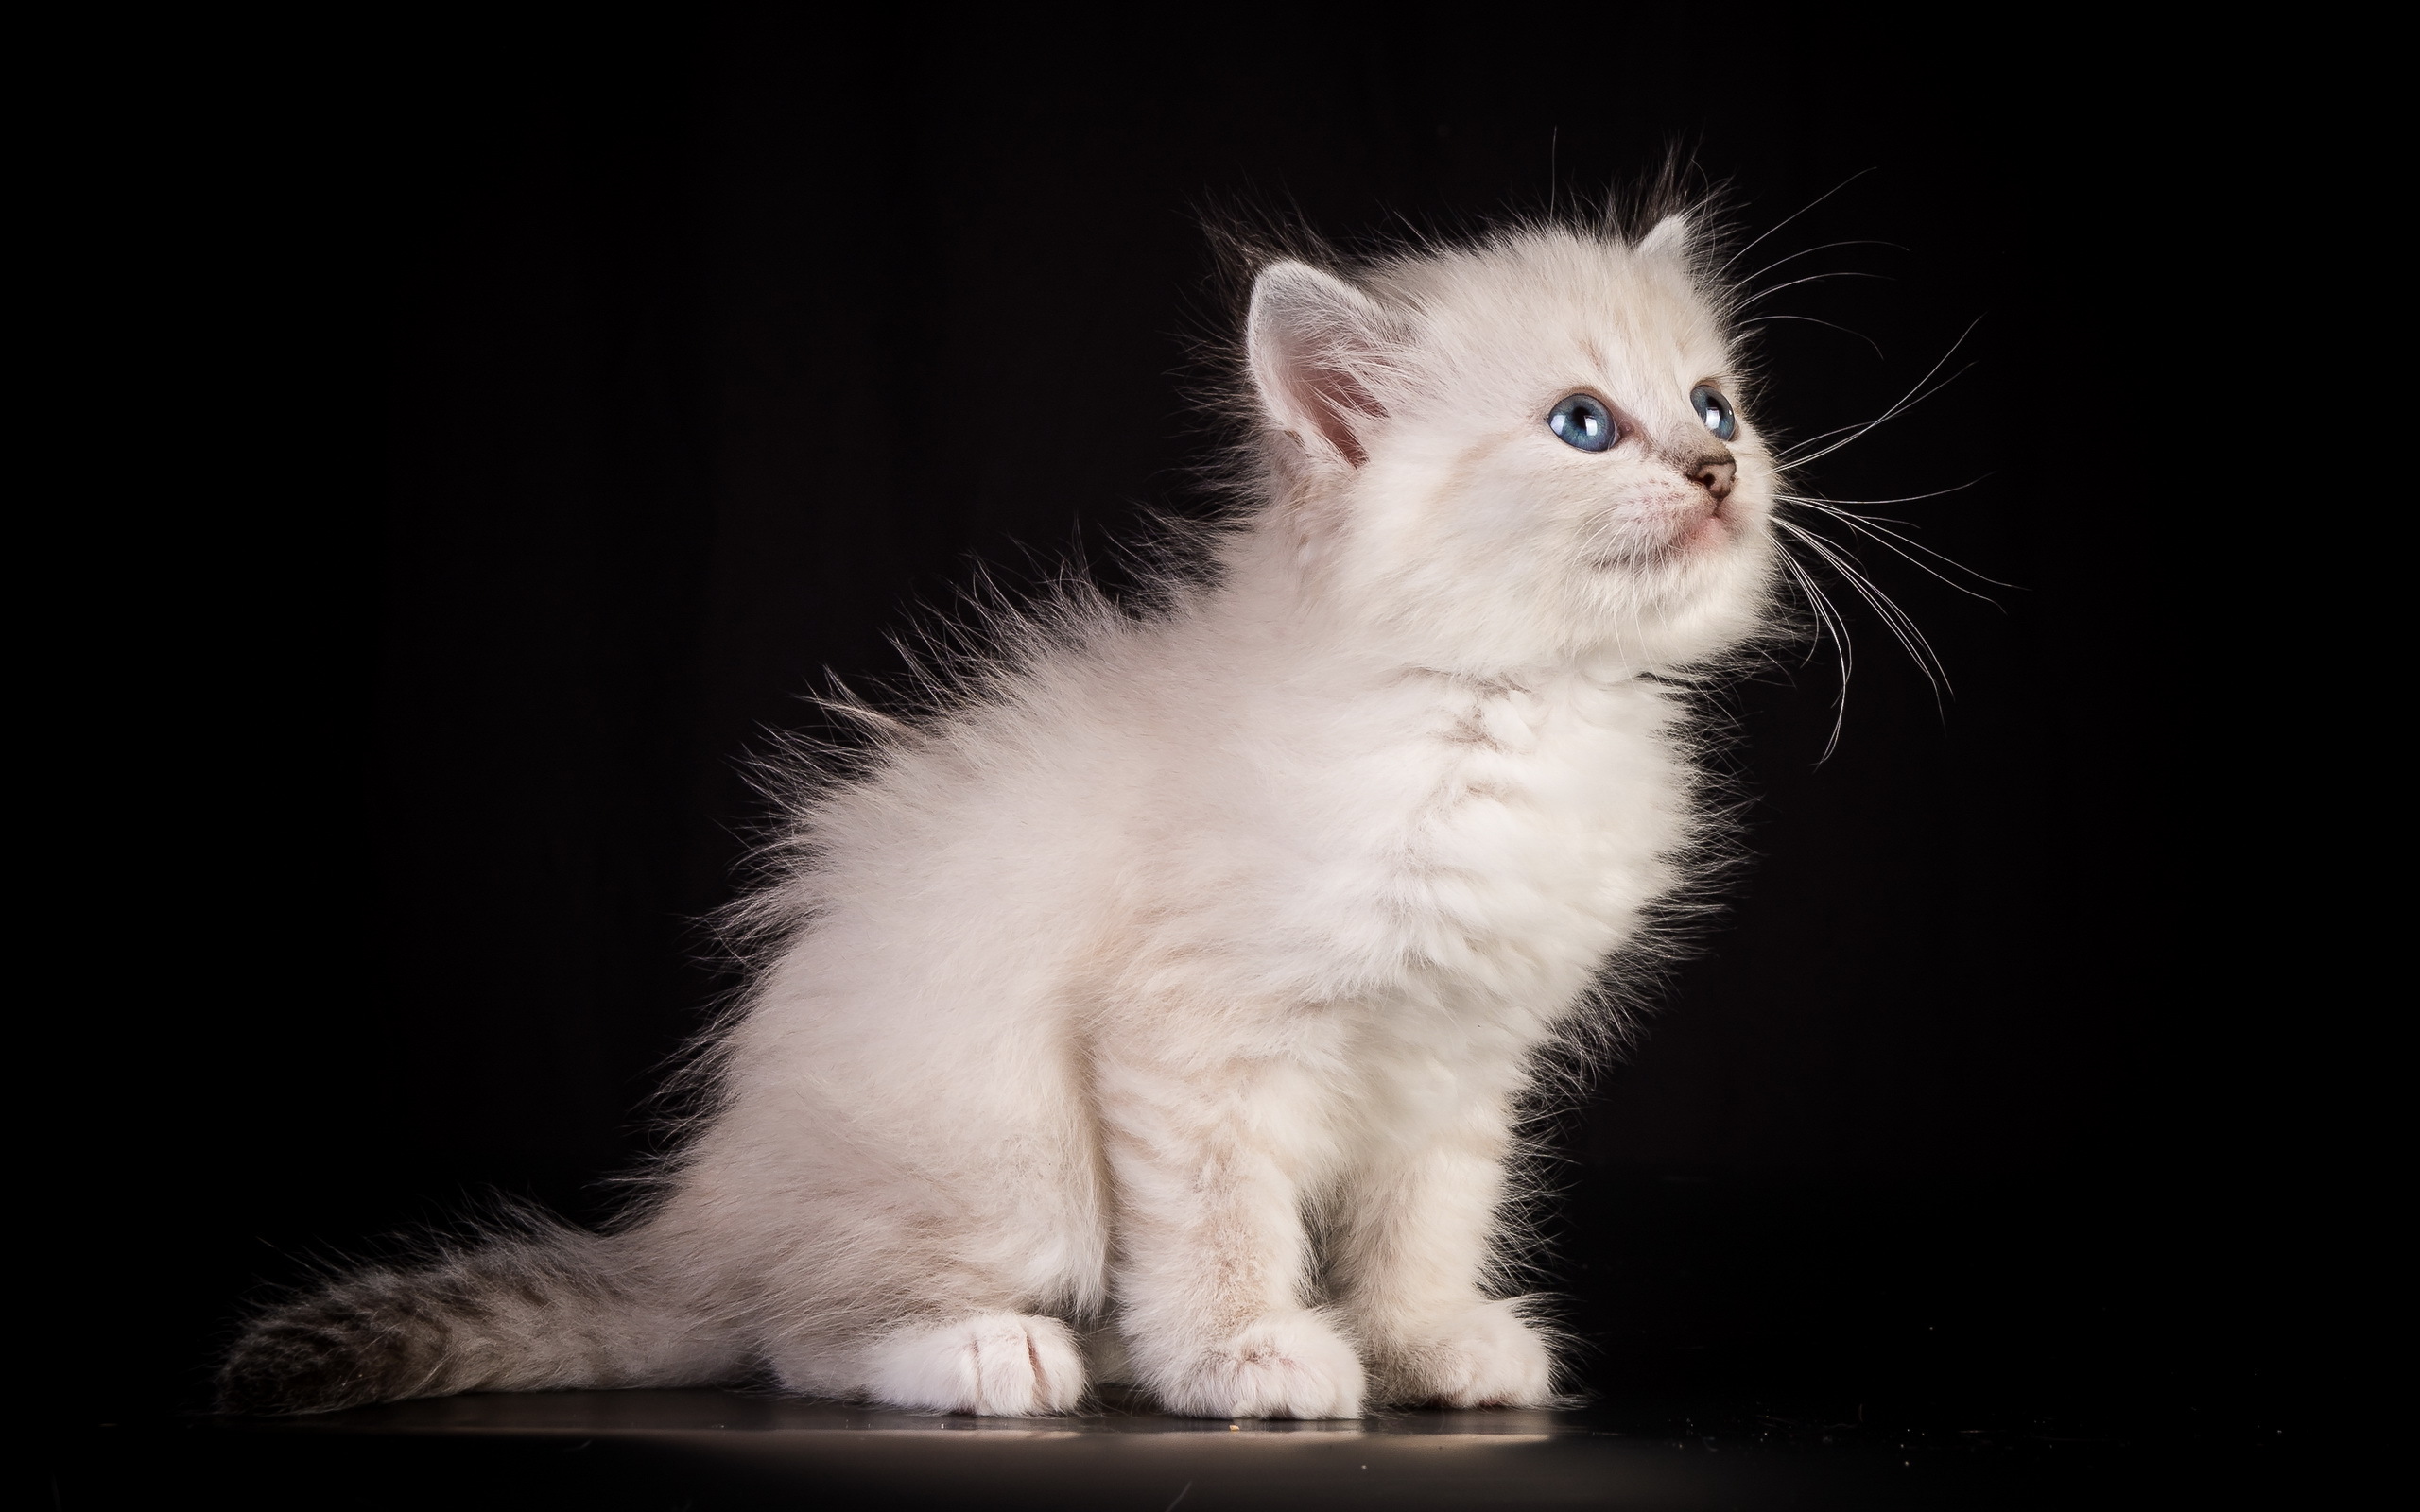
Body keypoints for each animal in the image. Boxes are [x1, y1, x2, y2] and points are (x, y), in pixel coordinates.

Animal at [222, 209, 1781, 1413]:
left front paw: (1428, 1347)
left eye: (1717, 405)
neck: (1502, 711)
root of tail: (696, 1216)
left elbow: (1425, 1231)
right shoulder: (1192, 1039)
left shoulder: (1455, 1064)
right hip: (1013, 1155)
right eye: (1583, 426)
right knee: (796, 1336)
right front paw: (1243, 1358)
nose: (1717, 472)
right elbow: (1222, 1228)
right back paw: (999, 1357)